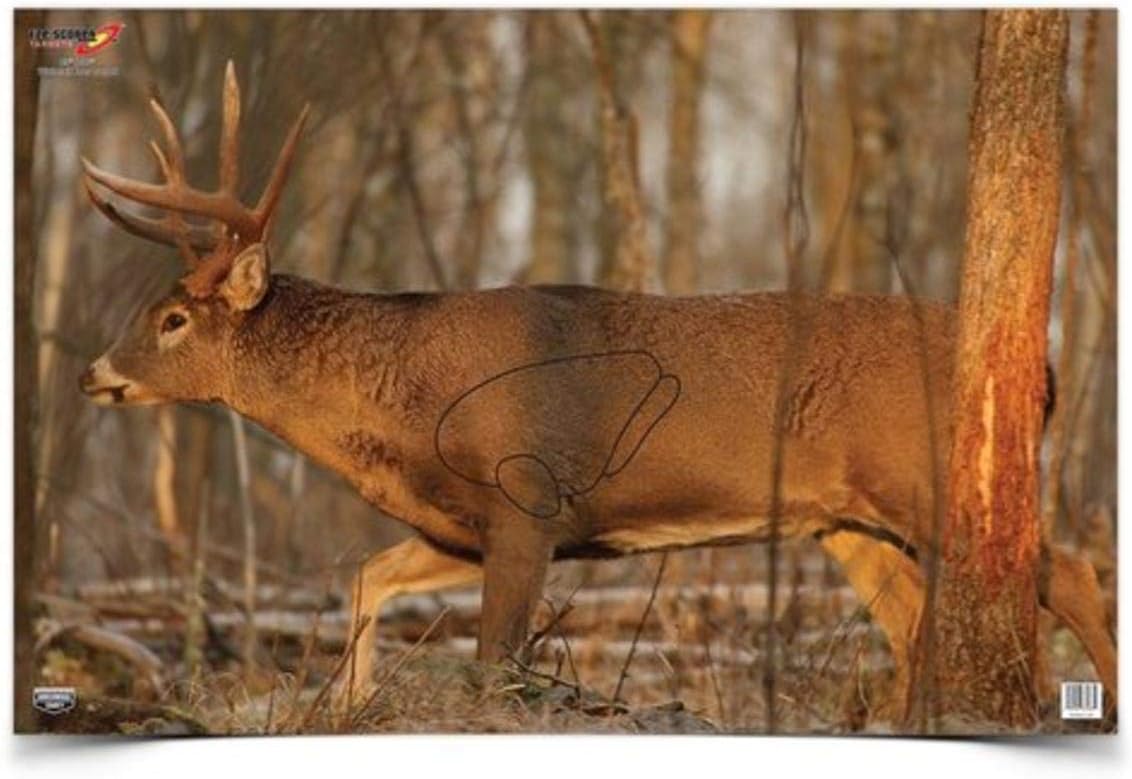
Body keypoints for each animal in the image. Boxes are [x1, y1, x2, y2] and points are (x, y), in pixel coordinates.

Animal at [79, 62, 1115, 723]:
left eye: (173, 318)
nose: (94, 373)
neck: (404, 408)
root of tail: (1044, 366)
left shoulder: (528, 500)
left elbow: (496, 665)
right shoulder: (462, 525)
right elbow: (367, 576)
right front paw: (353, 704)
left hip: (926, 477)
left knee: (1069, 573)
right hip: (844, 519)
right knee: (913, 620)